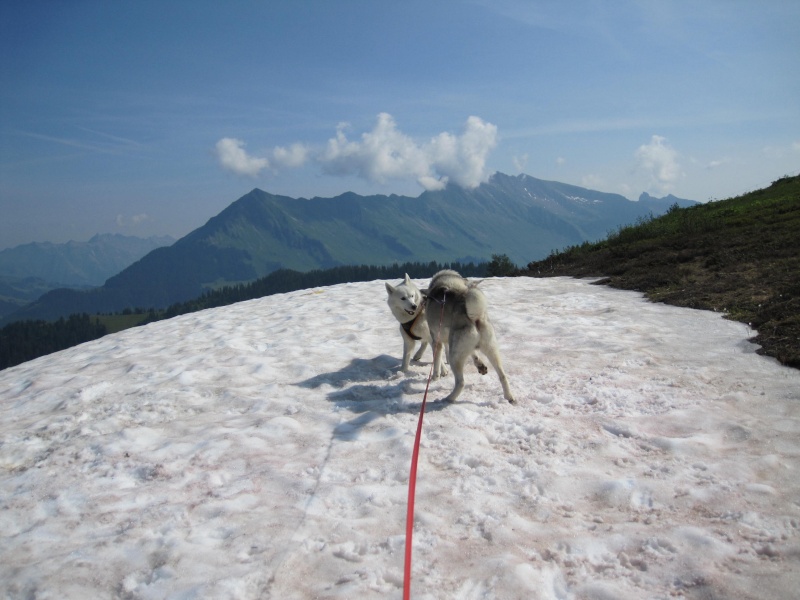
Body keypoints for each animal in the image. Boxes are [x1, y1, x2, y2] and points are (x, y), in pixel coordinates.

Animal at [422, 270, 516, 404]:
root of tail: (474, 316)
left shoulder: (436, 341)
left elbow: (436, 363)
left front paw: (435, 378)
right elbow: (474, 354)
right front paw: (480, 365)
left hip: (454, 357)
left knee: (461, 382)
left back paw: (448, 399)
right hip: (491, 350)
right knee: (503, 376)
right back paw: (510, 397)